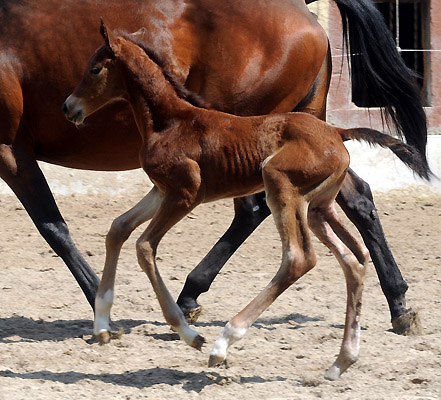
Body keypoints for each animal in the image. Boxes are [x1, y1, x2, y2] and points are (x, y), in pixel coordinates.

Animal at [0, 0, 426, 332]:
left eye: (94, 69)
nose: (68, 108)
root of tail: (306, 11)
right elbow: (109, 228)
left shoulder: (10, 150)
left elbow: (54, 227)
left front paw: (102, 307)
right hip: (308, 131)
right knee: (355, 197)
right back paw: (399, 306)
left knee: (258, 210)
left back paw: (190, 296)